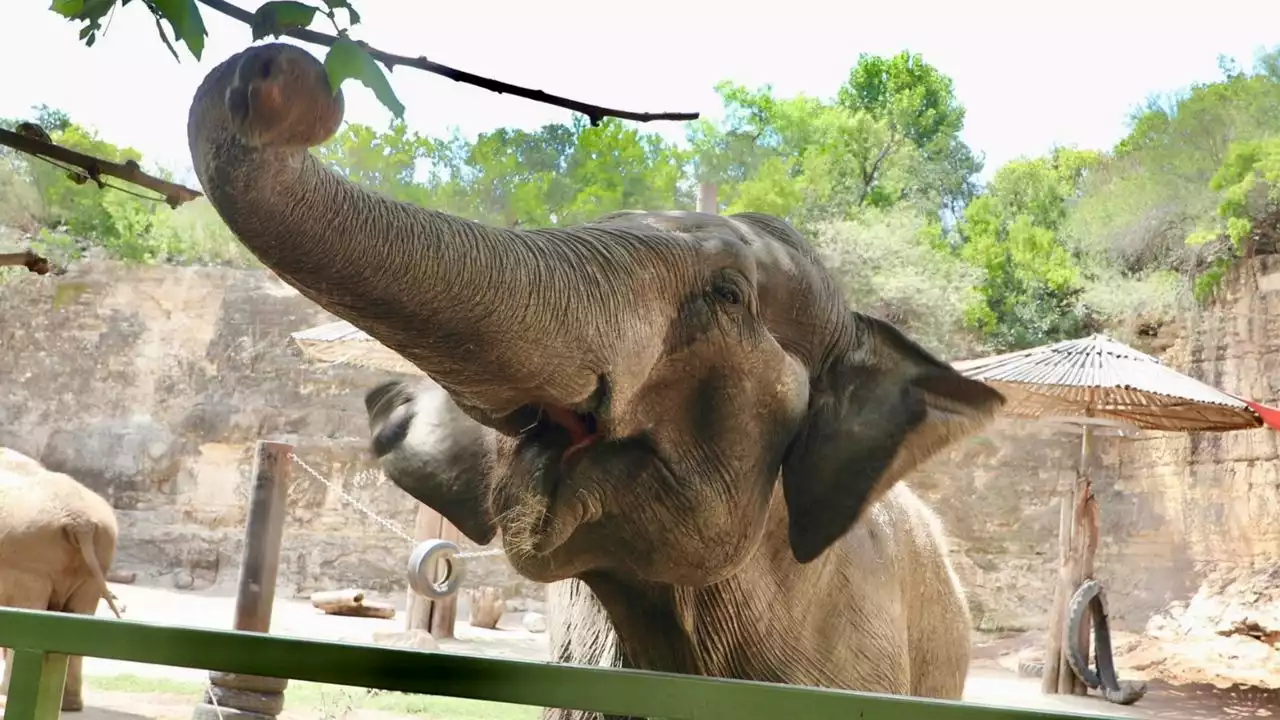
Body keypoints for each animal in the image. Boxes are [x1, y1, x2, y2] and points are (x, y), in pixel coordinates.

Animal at [0, 445, 120, 707]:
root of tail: (80, 521)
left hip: (32, 561)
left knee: (30, 612)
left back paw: (7, 696)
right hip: (96, 560)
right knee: (80, 616)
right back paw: (72, 705)